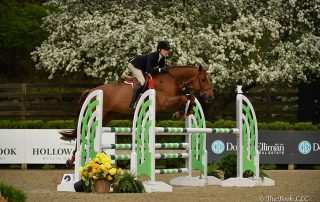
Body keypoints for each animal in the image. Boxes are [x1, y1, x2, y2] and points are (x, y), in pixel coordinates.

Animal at [61, 66, 214, 166]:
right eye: (203, 79)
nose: (210, 97)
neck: (172, 80)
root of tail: (92, 90)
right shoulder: (165, 102)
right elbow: (186, 97)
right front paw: (179, 114)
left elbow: (190, 98)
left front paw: (184, 113)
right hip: (98, 113)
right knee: (81, 132)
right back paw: (72, 160)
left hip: (107, 116)